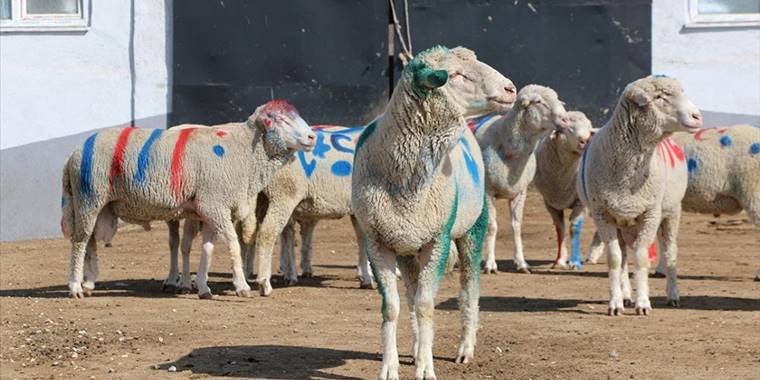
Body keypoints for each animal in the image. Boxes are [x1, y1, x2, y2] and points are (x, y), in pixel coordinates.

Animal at [60, 100, 318, 300]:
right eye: (280, 119)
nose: (312, 137)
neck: (243, 151)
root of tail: (74, 152)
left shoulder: (209, 209)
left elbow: (207, 248)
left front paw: (203, 287)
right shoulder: (215, 205)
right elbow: (233, 244)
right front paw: (242, 286)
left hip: (100, 205)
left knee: (91, 241)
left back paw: (89, 283)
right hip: (88, 198)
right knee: (80, 241)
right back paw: (75, 287)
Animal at [352, 46, 516, 380]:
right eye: (455, 75)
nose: (511, 89)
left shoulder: (437, 241)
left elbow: (427, 306)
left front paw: (426, 369)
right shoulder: (378, 243)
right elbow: (393, 307)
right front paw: (389, 366)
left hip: (472, 229)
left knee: (469, 291)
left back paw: (465, 348)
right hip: (407, 245)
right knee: (412, 296)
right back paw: (417, 348)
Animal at [476, 84, 568, 274]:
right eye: (538, 101)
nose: (566, 119)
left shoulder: (520, 192)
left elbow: (517, 227)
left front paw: (521, 263)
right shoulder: (488, 191)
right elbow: (492, 226)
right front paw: (490, 264)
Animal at [580, 75, 704, 316]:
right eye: (659, 97)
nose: (697, 116)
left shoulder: (650, 214)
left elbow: (641, 258)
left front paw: (643, 303)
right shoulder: (603, 214)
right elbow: (615, 259)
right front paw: (615, 303)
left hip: (671, 213)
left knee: (670, 251)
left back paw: (672, 295)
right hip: (622, 222)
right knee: (623, 257)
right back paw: (626, 295)